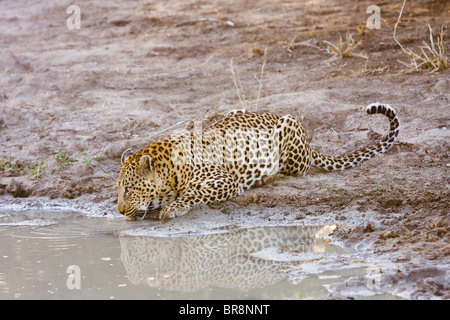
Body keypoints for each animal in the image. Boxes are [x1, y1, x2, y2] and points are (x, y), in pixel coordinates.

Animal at [117, 102, 400, 220]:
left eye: (129, 189)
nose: (118, 211)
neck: (169, 171)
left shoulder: (225, 181)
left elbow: (192, 194)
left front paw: (173, 208)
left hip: (288, 130)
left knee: (300, 170)